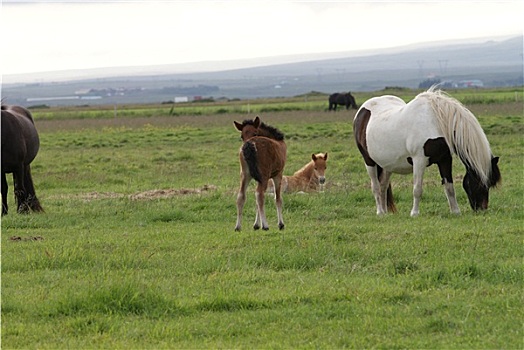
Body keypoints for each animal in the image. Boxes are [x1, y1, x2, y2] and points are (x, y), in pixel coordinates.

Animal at [354, 88, 502, 216]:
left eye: (489, 184)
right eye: (479, 183)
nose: (482, 209)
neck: (436, 122)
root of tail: (362, 111)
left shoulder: (445, 159)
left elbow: (449, 187)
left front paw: (455, 211)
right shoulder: (419, 160)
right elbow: (417, 189)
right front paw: (414, 213)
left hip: (387, 164)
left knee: (383, 185)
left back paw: (385, 212)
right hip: (369, 161)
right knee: (375, 186)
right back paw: (380, 212)